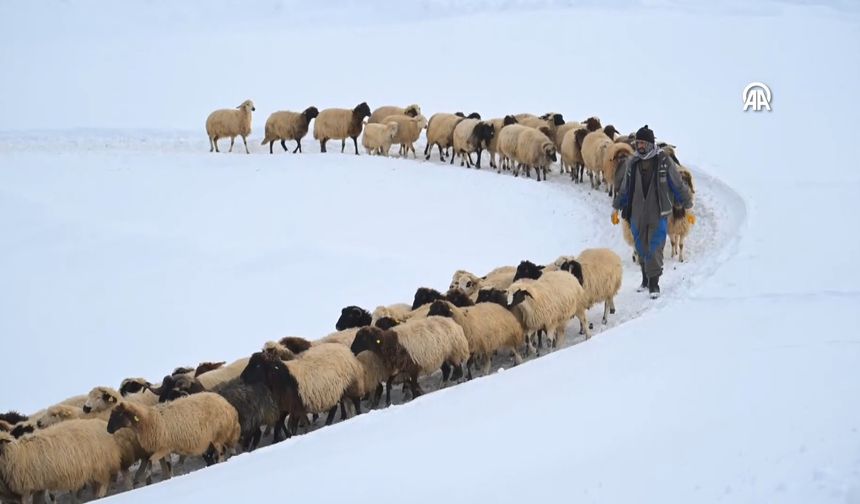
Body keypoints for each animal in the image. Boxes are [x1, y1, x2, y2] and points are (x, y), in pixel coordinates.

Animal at [109, 390, 242, 480]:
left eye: (119, 414)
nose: (108, 429)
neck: (148, 420)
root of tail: (227, 404)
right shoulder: (166, 449)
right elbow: (168, 466)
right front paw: (169, 478)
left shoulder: (164, 447)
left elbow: (151, 461)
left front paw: (148, 480)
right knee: (226, 449)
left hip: (217, 436)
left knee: (221, 453)